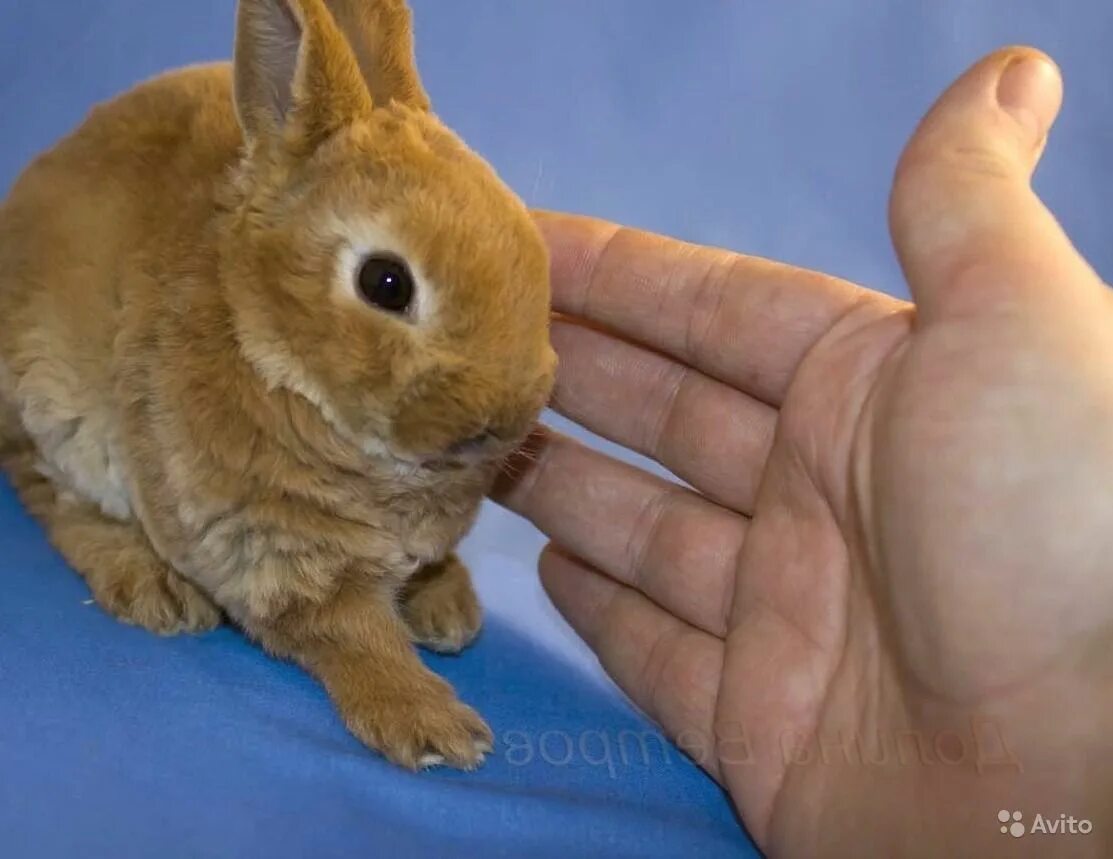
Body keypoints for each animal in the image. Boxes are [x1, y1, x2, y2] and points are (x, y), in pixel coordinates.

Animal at [0, 0, 556, 769]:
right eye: (386, 282)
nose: (500, 422)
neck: (272, 353)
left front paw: (449, 610)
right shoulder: (271, 552)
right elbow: (354, 637)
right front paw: (434, 729)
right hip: (55, 410)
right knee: (50, 496)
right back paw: (152, 588)